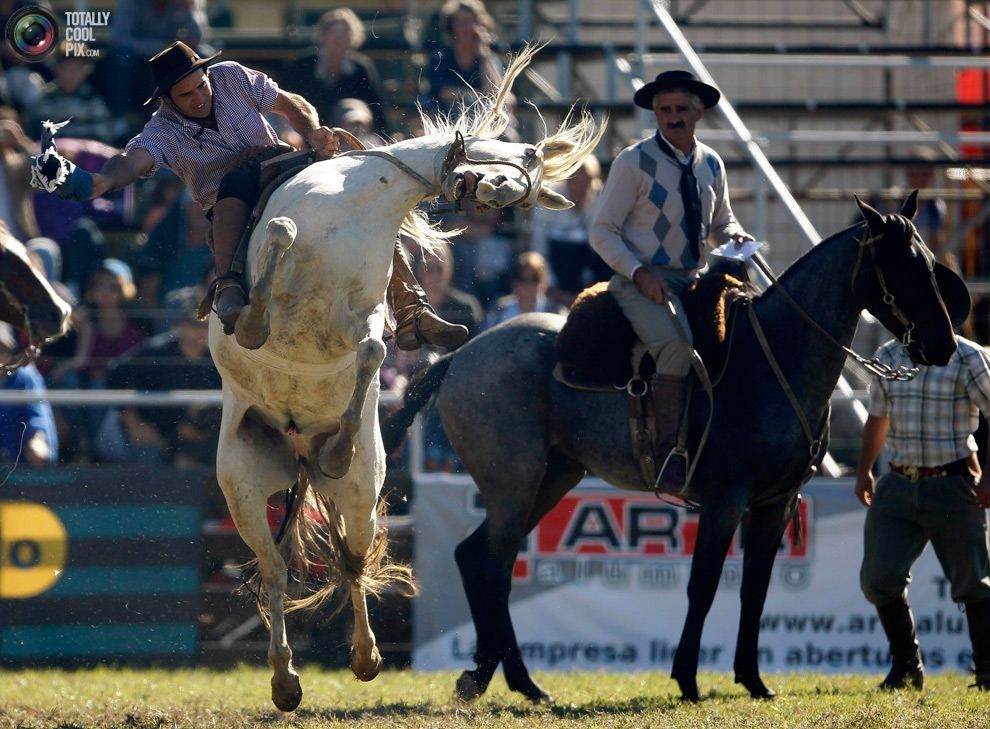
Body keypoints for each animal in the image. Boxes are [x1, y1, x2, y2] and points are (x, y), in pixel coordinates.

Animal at [386, 192, 960, 700]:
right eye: (902, 266)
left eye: (932, 265)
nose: (944, 344)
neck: (774, 359)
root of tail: (461, 357)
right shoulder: (725, 501)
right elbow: (703, 586)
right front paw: (687, 678)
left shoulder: (775, 504)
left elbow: (755, 591)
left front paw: (753, 680)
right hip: (513, 484)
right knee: (490, 563)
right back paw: (501, 677)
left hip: (551, 479)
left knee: (484, 560)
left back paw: (507, 680)